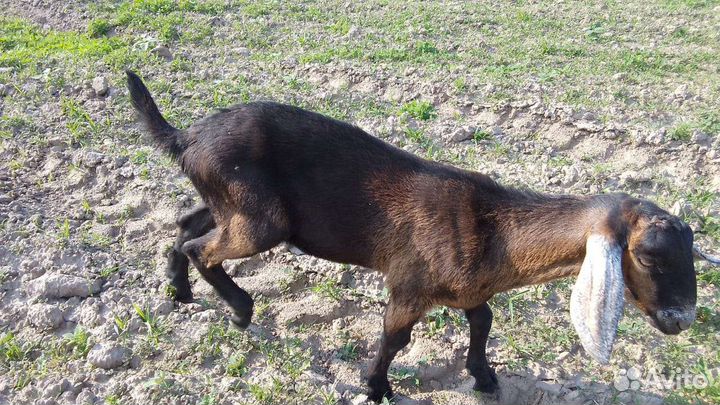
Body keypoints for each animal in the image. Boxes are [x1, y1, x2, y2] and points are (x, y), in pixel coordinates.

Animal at [126, 70, 714, 402]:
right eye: (649, 256)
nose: (682, 319)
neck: (495, 234)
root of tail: (188, 136)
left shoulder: (471, 288)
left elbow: (483, 321)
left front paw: (484, 377)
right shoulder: (410, 283)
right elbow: (395, 337)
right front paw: (376, 388)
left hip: (234, 202)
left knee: (185, 225)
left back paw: (178, 291)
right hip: (259, 218)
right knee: (202, 247)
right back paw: (240, 309)